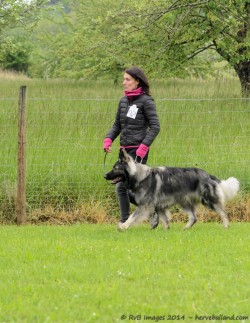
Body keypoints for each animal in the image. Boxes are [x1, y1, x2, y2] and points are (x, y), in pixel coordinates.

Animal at [104, 149, 240, 230]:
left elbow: (132, 217)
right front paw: (166, 231)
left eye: (115, 168)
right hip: (184, 202)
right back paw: (185, 229)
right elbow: (165, 220)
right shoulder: (159, 207)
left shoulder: (144, 206)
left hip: (208, 200)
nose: (105, 175)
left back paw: (226, 227)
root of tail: (208, 175)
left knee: (223, 213)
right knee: (194, 218)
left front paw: (123, 226)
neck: (140, 175)